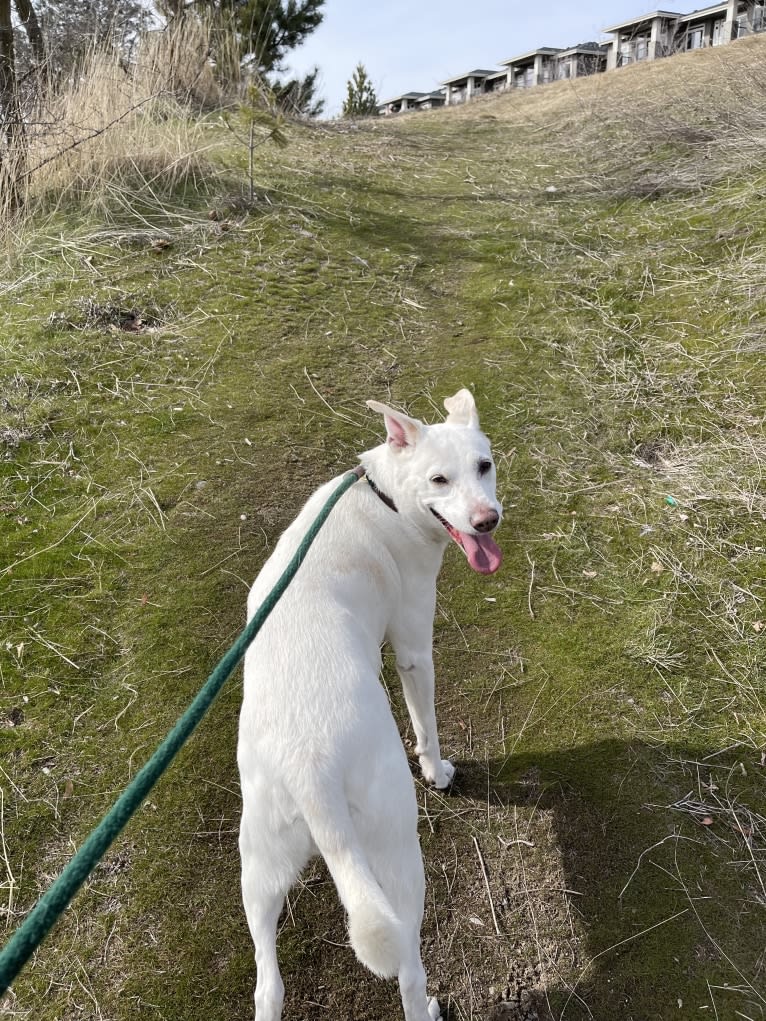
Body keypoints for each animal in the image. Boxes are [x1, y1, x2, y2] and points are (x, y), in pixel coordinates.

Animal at [240, 385, 504, 1016]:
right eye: (439, 480)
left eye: (484, 466)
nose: (488, 520)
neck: (387, 497)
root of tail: (309, 771)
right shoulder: (413, 647)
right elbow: (426, 722)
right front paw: (439, 770)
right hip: (398, 857)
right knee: (408, 970)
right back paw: (427, 1005)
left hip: (258, 871)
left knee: (268, 984)